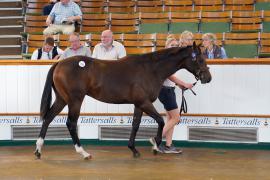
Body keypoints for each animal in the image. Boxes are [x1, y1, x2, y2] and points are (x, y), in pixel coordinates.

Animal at [34, 41, 211, 159]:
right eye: (200, 59)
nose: (208, 78)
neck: (150, 69)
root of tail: (59, 64)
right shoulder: (145, 102)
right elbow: (160, 121)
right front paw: (156, 145)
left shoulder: (139, 104)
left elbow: (135, 125)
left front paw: (133, 149)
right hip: (75, 100)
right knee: (70, 123)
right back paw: (83, 152)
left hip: (62, 99)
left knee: (48, 118)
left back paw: (38, 150)